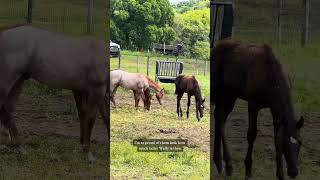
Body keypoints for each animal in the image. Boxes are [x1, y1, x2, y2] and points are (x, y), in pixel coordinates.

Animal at [0, 23, 109, 160]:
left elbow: (101, 117)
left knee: (8, 110)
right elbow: (90, 118)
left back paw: (19, 146)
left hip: (18, 81)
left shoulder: (85, 90)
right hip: (7, 81)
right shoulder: (97, 90)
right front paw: (88, 152)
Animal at [212, 38, 304, 179]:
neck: (270, 73)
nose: (293, 172)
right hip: (220, 91)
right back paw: (228, 165)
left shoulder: (275, 109)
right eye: (286, 144)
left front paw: (280, 174)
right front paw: (248, 171)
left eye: (300, 143)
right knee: (220, 119)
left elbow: (276, 135)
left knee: (219, 117)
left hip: (230, 95)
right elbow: (252, 134)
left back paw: (218, 161)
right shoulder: (253, 105)